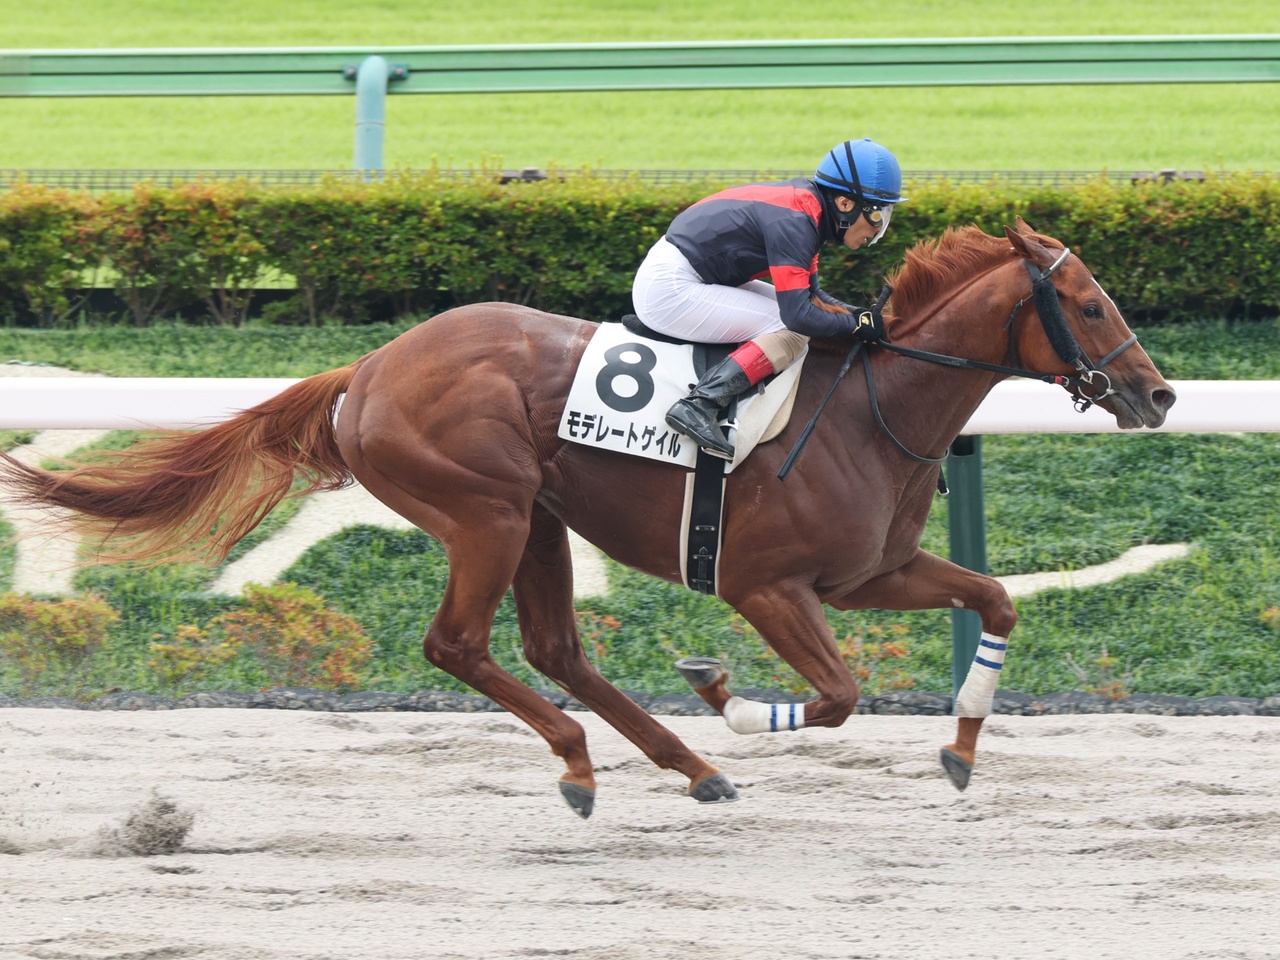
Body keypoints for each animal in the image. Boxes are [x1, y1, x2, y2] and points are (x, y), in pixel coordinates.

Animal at [0, 217, 1175, 818]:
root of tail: (368, 368)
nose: (1157, 395)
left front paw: (962, 748)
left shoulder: (871, 575)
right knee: (460, 645)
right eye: (1086, 304)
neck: (866, 407)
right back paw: (589, 760)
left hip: (540, 518)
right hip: (483, 508)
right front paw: (727, 697)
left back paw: (686, 768)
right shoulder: (765, 586)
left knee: (556, 648)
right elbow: (839, 696)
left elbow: (995, 604)